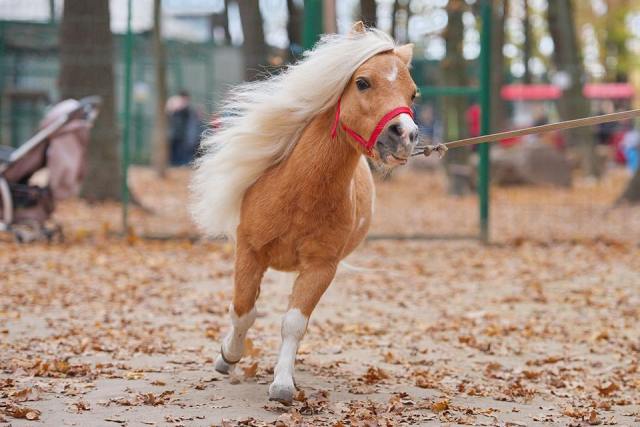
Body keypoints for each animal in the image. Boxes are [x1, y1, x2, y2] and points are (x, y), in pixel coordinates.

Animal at [191, 22, 420, 404]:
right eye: (363, 82)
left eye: (413, 94)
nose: (404, 135)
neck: (301, 193)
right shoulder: (249, 252)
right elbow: (243, 310)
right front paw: (228, 356)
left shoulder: (320, 267)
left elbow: (293, 323)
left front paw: (283, 384)